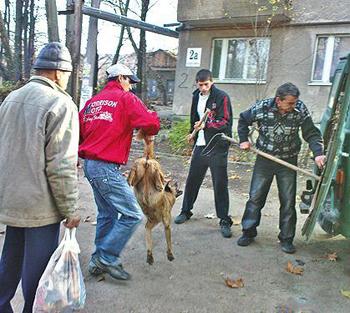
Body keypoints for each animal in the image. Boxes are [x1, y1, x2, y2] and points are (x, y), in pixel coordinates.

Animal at [127, 133, 180, 264]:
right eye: (175, 186)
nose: (177, 182)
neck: (167, 198)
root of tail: (147, 160)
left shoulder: (150, 224)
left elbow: (148, 240)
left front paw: (149, 255)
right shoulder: (166, 225)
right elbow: (169, 243)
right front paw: (170, 254)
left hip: (138, 167)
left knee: (133, 175)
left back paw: (129, 179)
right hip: (157, 168)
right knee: (158, 175)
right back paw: (160, 183)